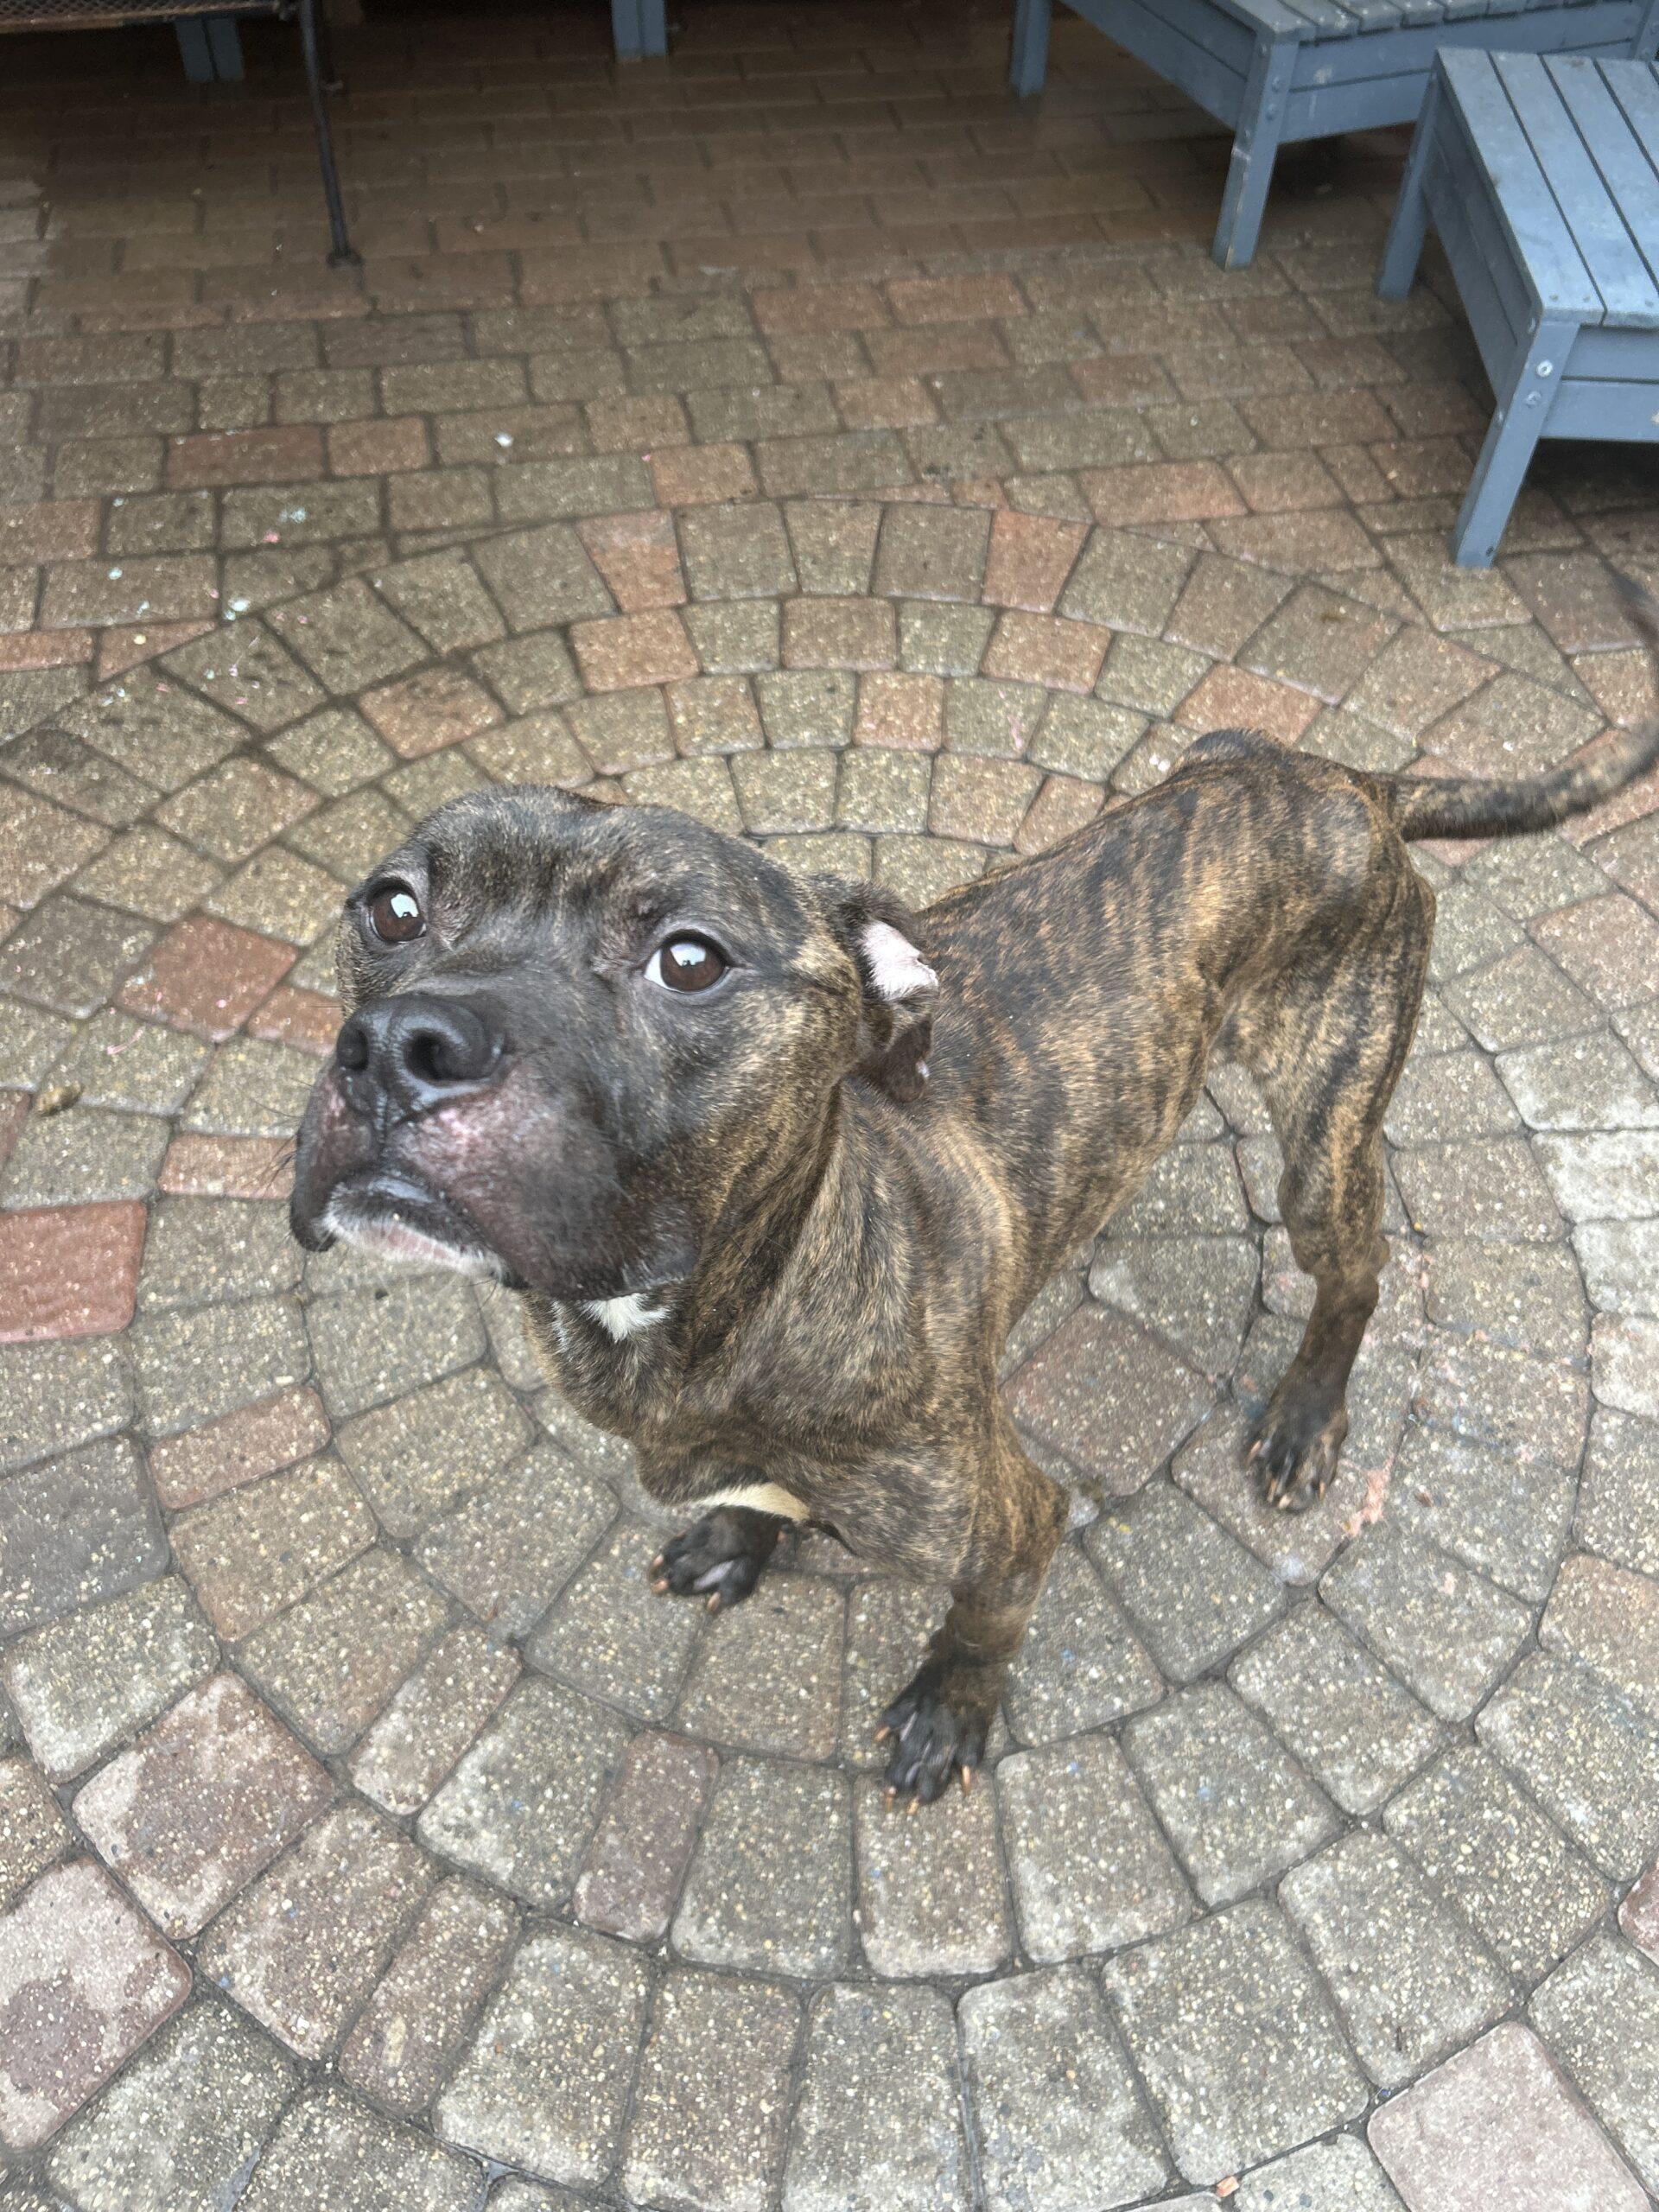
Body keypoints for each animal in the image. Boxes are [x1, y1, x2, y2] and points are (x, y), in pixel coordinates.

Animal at [291, 582, 1659, 1805]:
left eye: (688, 959)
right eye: (392, 905)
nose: (399, 1045)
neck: (733, 1300)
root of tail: (1347, 782)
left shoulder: (1013, 1520)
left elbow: (983, 1624)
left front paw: (948, 1711)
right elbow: (753, 1494)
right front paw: (742, 1532)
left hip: (1324, 1136)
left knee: (1357, 1272)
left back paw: (1305, 1417)